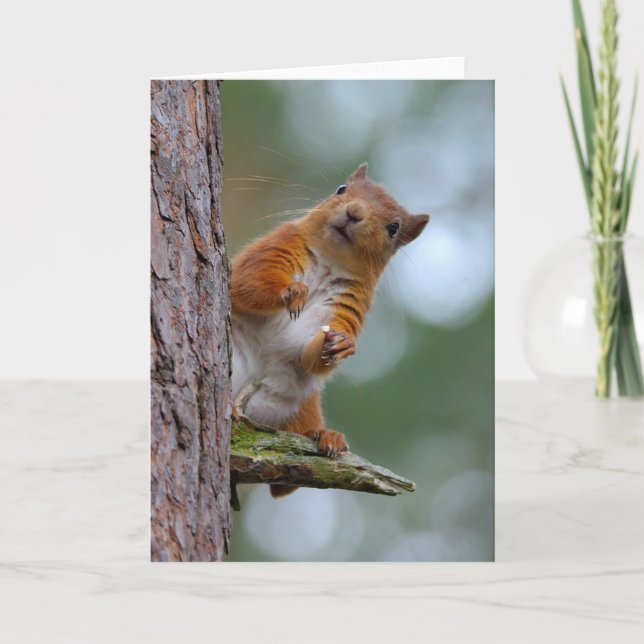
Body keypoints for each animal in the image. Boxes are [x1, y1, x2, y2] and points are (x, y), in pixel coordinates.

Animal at [231, 163, 429, 497]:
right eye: (341, 189)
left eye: (394, 228)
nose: (354, 211)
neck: (330, 262)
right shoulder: (274, 247)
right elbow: (249, 282)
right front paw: (291, 290)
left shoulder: (346, 306)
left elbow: (306, 353)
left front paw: (341, 345)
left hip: (299, 408)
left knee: (284, 485)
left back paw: (326, 435)